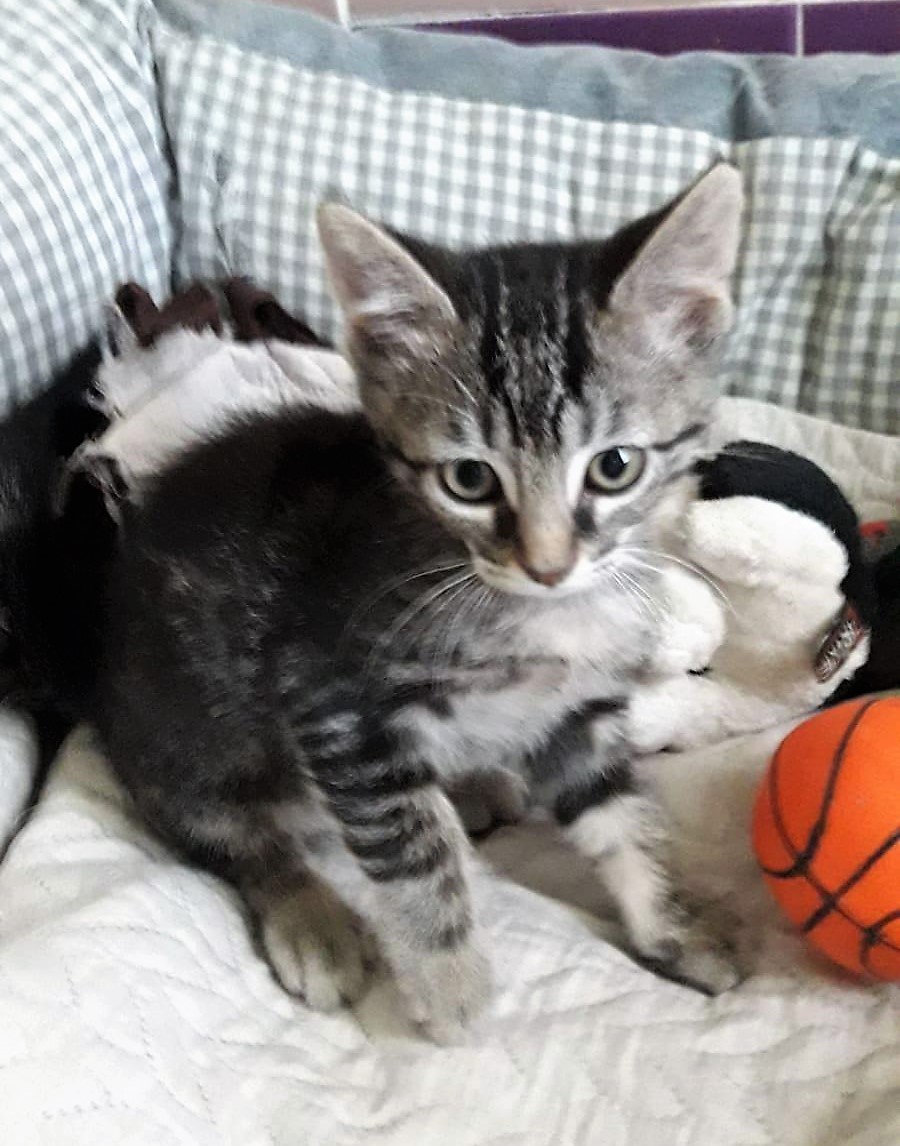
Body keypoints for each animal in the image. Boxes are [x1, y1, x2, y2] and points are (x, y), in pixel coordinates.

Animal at [91, 164, 745, 1040]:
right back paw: (312, 918)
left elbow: (625, 816)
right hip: (192, 737)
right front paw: (451, 989)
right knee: (232, 837)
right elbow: (413, 848)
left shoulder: (582, 707)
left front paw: (676, 927)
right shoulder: (331, 697)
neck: (543, 616)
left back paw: (476, 784)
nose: (547, 565)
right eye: (469, 479)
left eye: (615, 467)